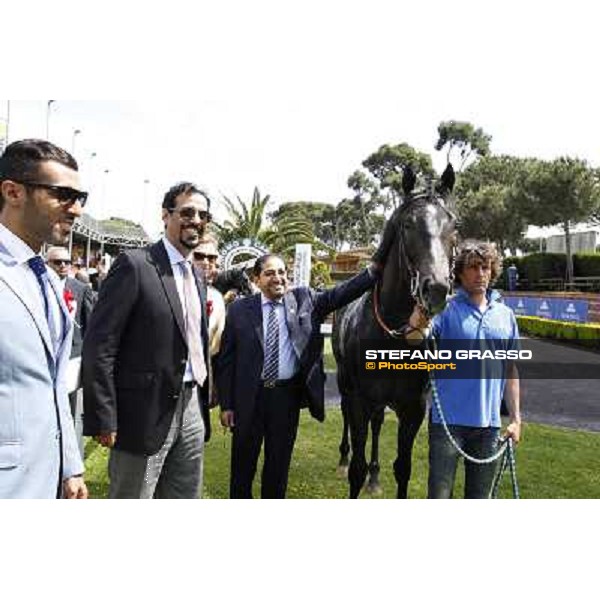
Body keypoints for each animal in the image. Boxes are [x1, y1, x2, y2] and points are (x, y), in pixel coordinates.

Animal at [332, 164, 454, 496]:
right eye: (408, 224)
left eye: (454, 225)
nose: (436, 289)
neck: (392, 337)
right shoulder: (360, 400)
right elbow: (357, 470)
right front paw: (354, 467)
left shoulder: (413, 408)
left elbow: (403, 468)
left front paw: (378, 474)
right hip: (346, 386)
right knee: (347, 414)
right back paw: (344, 457)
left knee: (377, 424)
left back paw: (375, 477)